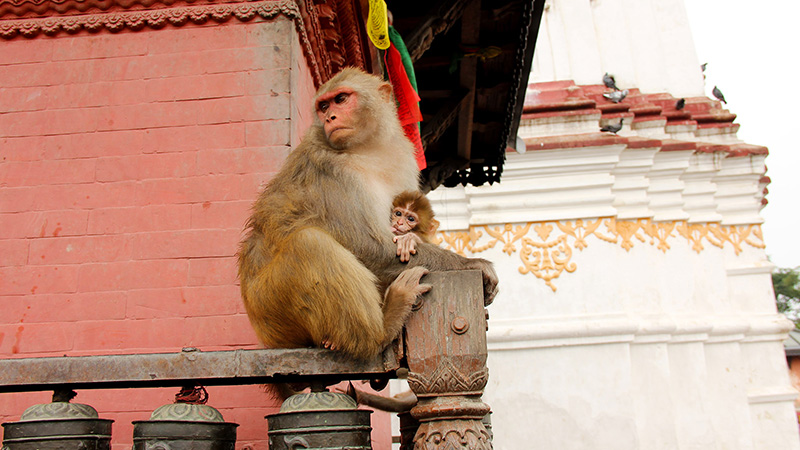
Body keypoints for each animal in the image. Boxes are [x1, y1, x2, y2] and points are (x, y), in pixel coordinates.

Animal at [237, 67, 499, 401]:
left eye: (340, 99)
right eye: (323, 106)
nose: (330, 117)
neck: (368, 148)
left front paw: (413, 239)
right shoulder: (330, 170)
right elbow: (366, 247)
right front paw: (474, 264)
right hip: (270, 308)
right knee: (310, 244)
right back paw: (383, 326)